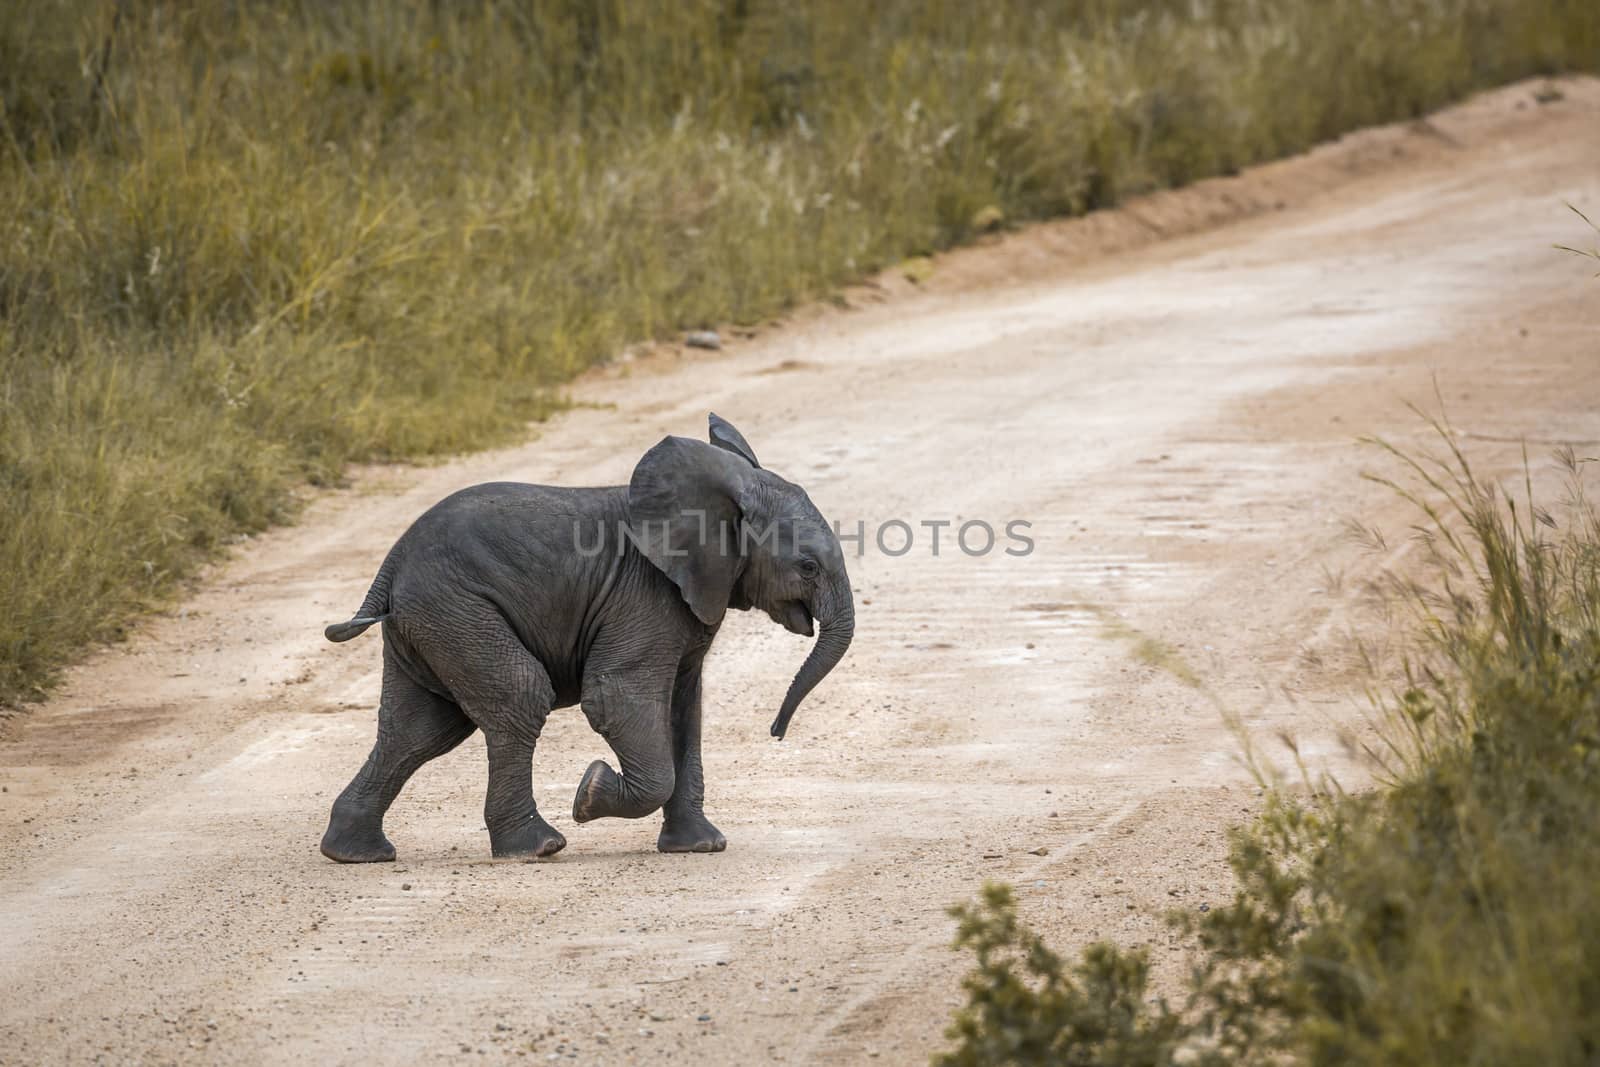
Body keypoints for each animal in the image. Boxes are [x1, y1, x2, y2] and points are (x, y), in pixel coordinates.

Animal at [316, 412, 857, 863]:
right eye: (808, 566)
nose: (776, 733)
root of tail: (390, 565)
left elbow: (684, 709)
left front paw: (701, 847)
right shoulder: (644, 596)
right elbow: (616, 696)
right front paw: (589, 793)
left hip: (433, 621)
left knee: (422, 730)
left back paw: (355, 854)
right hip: (456, 608)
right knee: (518, 694)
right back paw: (538, 848)